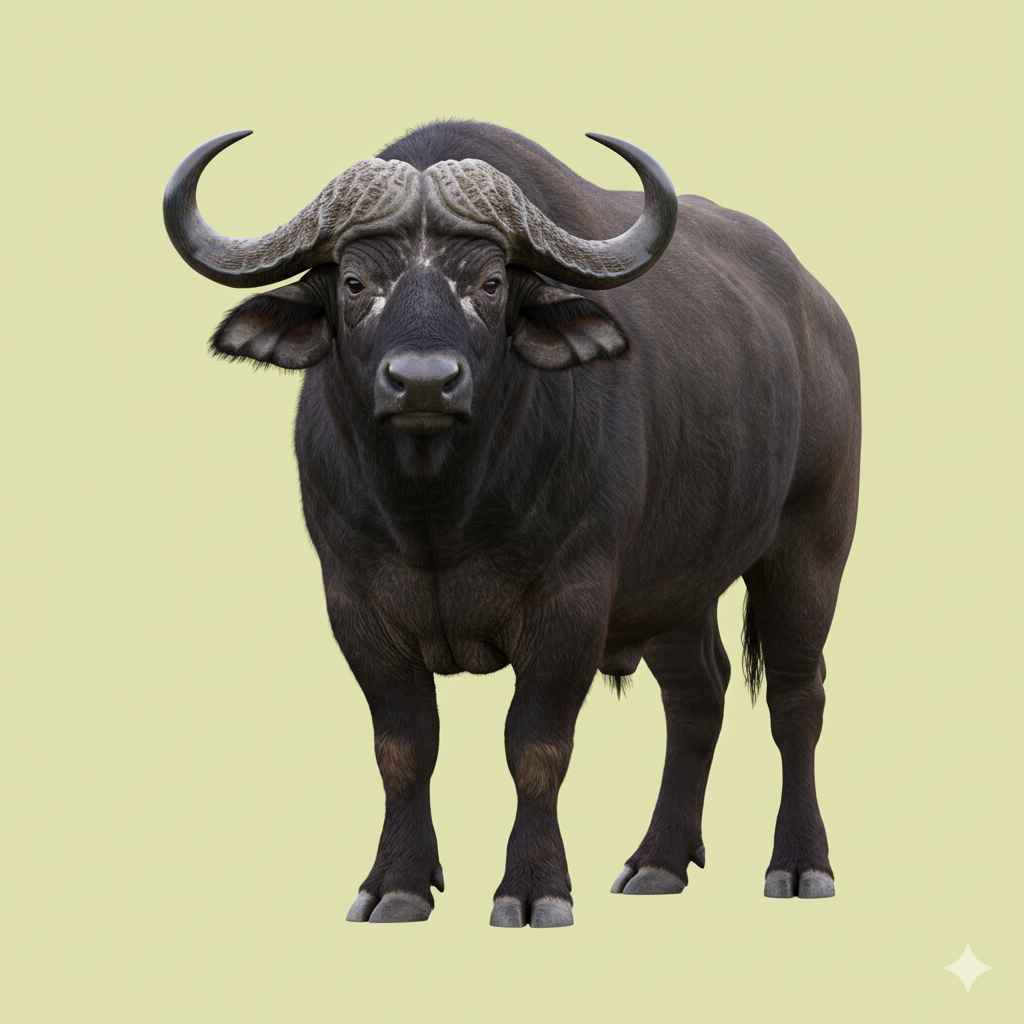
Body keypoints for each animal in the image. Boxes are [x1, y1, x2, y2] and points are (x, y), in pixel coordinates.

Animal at [164, 120, 860, 927]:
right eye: (354, 282)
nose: (424, 383)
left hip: (811, 542)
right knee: (697, 696)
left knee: (796, 698)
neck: (438, 512)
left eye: (491, 284)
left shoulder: (572, 604)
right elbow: (403, 748)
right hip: (675, 582)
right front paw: (397, 883)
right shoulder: (355, 603)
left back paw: (801, 864)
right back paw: (658, 861)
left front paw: (534, 888)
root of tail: (821, 314)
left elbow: (535, 748)